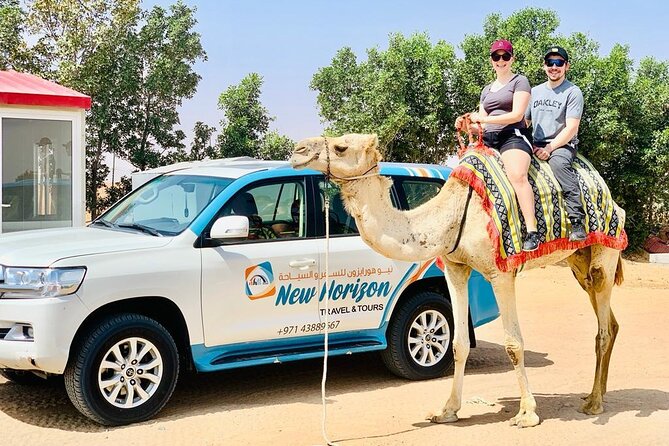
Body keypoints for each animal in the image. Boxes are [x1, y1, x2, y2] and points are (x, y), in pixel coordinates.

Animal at [291, 133, 625, 428]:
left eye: (341, 146)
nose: (298, 150)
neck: (448, 218)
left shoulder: (500, 272)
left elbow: (514, 344)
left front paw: (527, 413)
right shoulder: (455, 268)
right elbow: (458, 343)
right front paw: (447, 410)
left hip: (605, 253)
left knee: (603, 327)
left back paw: (594, 403)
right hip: (578, 262)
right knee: (610, 322)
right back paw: (596, 394)